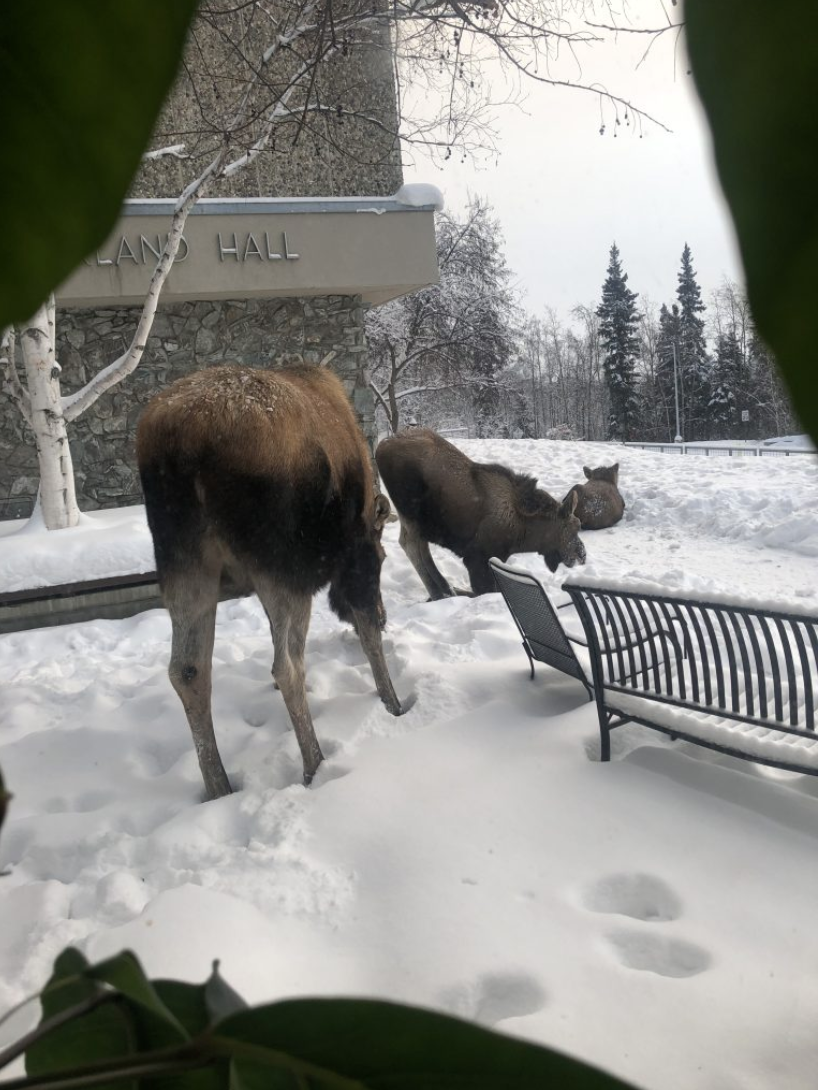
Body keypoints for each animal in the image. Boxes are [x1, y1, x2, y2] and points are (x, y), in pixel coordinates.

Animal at [137, 366, 403, 802]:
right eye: (381, 558)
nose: (386, 614)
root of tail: (184, 445)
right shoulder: (345, 559)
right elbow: (367, 637)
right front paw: (393, 704)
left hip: (183, 558)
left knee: (188, 669)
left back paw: (219, 786)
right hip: (281, 564)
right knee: (287, 665)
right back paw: (314, 763)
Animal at [375, 427, 584, 601]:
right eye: (574, 526)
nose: (582, 554)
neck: (523, 527)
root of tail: (380, 447)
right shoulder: (477, 557)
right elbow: (486, 589)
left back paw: (446, 590)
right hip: (411, 512)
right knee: (411, 544)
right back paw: (440, 592)